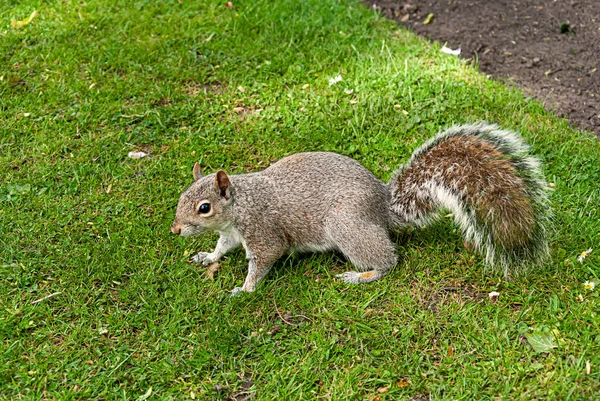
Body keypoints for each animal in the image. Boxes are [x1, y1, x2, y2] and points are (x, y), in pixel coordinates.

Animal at [172, 122, 548, 294]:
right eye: (181, 197)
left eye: (204, 207)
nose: (175, 229)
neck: (240, 205)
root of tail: (383, 206)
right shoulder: (232, 234)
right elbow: (222, 247)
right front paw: (207, 256)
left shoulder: (263, 233)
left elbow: (263, 261)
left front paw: (244, 289)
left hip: (347, 226)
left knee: (389, 261)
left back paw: (360, 275)